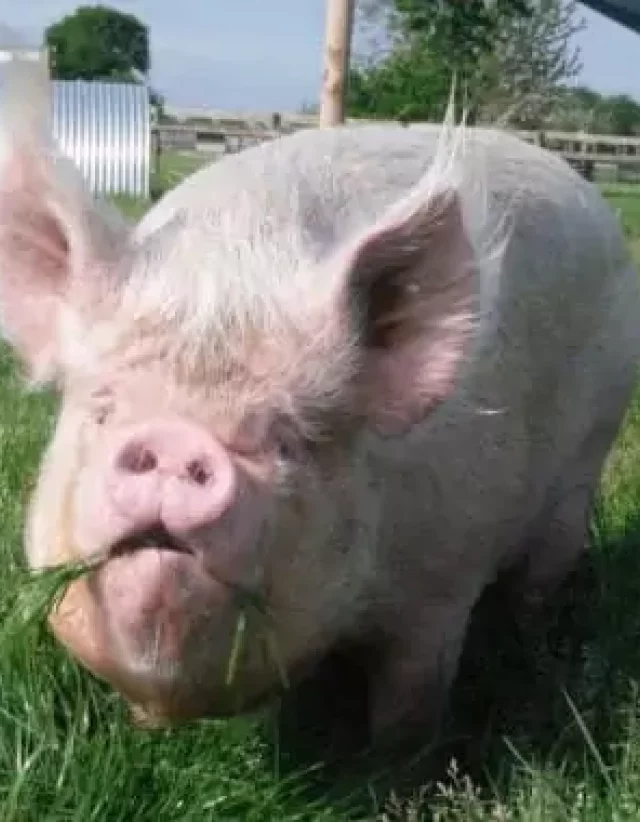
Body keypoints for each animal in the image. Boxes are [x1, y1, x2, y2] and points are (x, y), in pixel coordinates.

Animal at [1, 59, 639, 750]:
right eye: (101, 410)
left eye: (288, 439)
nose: (176, 440)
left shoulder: (441, 587)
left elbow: (411, 704)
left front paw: (390, 770)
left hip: (587, 459)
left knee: (543, 574)